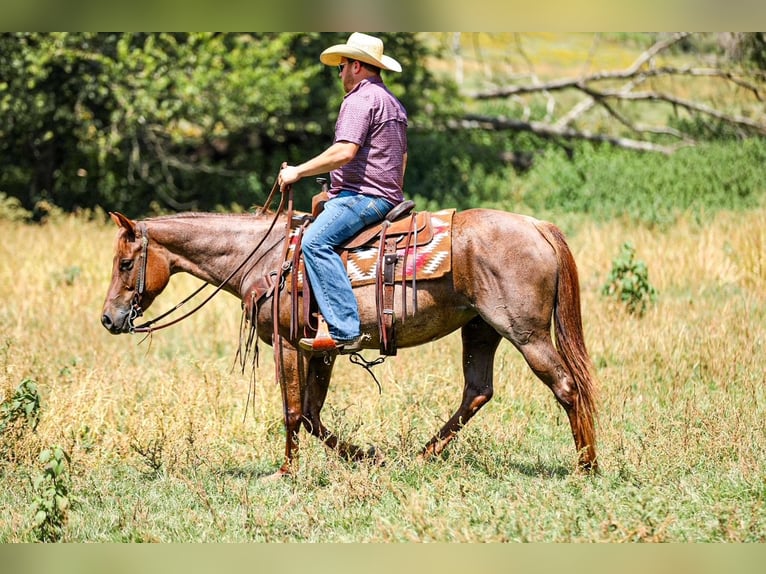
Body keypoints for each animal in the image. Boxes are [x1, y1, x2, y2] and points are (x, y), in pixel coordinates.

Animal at [101, 203, 598, 477]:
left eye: (125, 264)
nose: (109, 318)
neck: (264, 258)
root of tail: (537, 226)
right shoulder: (321, 352)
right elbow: (312, 415)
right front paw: (367, 458)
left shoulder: (288, 344)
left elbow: (293, 411)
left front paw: (285, 471)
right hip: (481, 329)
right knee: (478, 391)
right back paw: (420, 457)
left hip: (525, 332)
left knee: (566, 386)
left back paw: (586, 466)